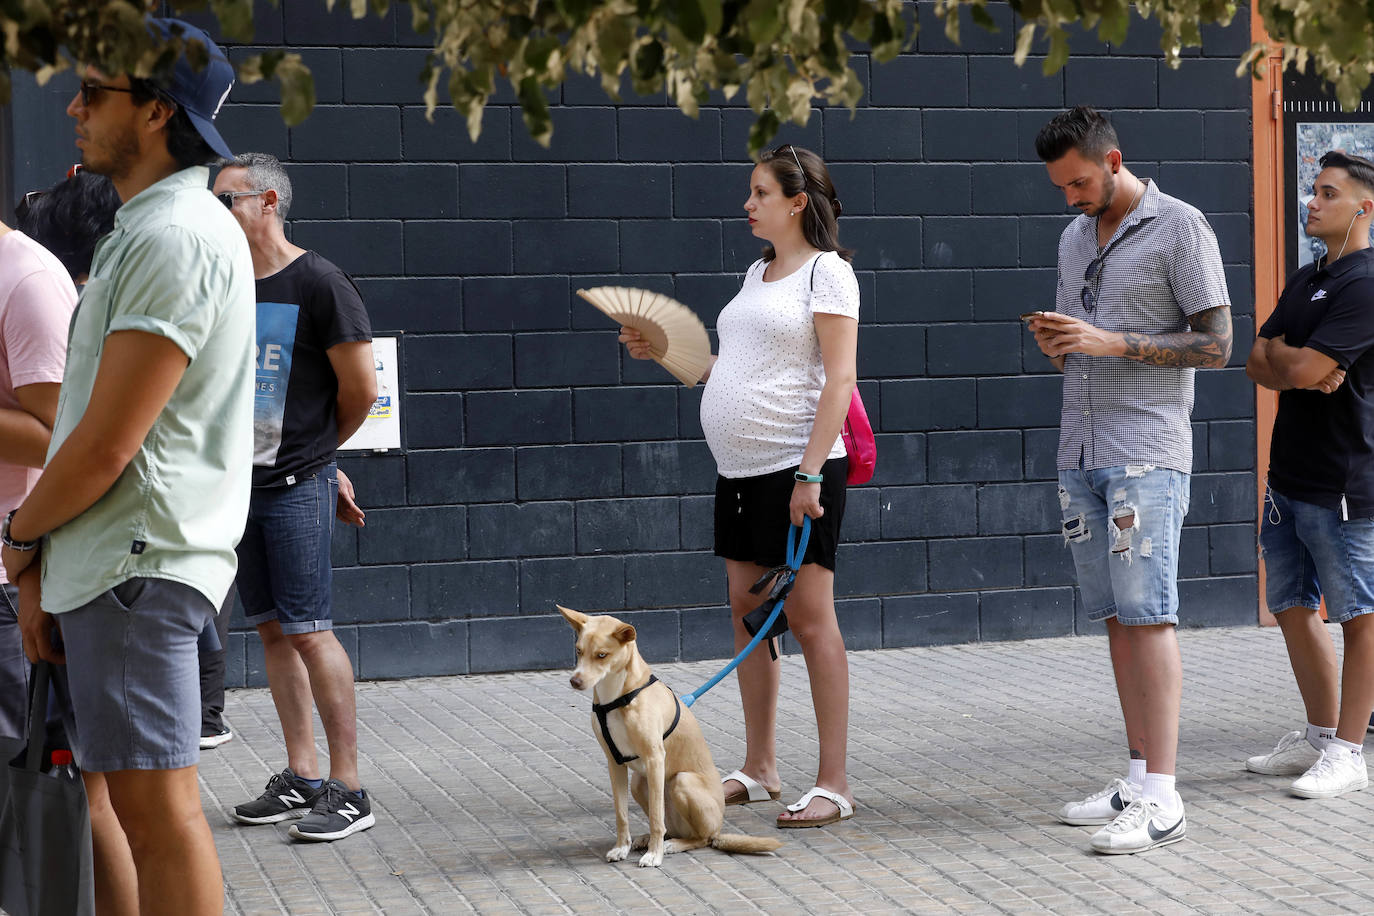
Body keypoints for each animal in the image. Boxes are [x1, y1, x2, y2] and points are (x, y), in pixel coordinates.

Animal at [552, 609, 780, 867]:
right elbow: (621, 814)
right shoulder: (614, 762)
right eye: (578, 651)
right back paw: (647, 839)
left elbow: (655, 818)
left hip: (683, 781)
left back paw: (673, 845)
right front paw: (621, 847)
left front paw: (654, 854)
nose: (575, 681)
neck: (616, 698)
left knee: (701, 838)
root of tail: (719, 828)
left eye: (602, 655)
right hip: (638, 783)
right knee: (671, 827)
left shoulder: (654, 759)